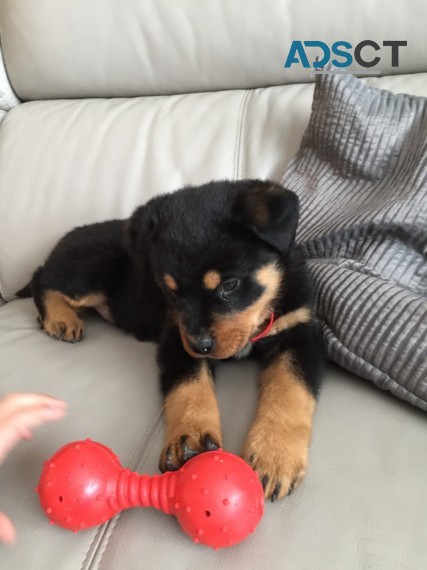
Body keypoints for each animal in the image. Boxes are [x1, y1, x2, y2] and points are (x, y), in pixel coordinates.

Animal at [17, 180, 324, 500]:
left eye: (230, 284)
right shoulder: (177, 337)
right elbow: (189, 386)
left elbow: (290, 389)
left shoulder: (301, 332)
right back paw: (61, 319)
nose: (201, 346)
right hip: (93, 268)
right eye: (170, 290)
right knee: (42, 278)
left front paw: (274, 456)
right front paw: (191, 439)